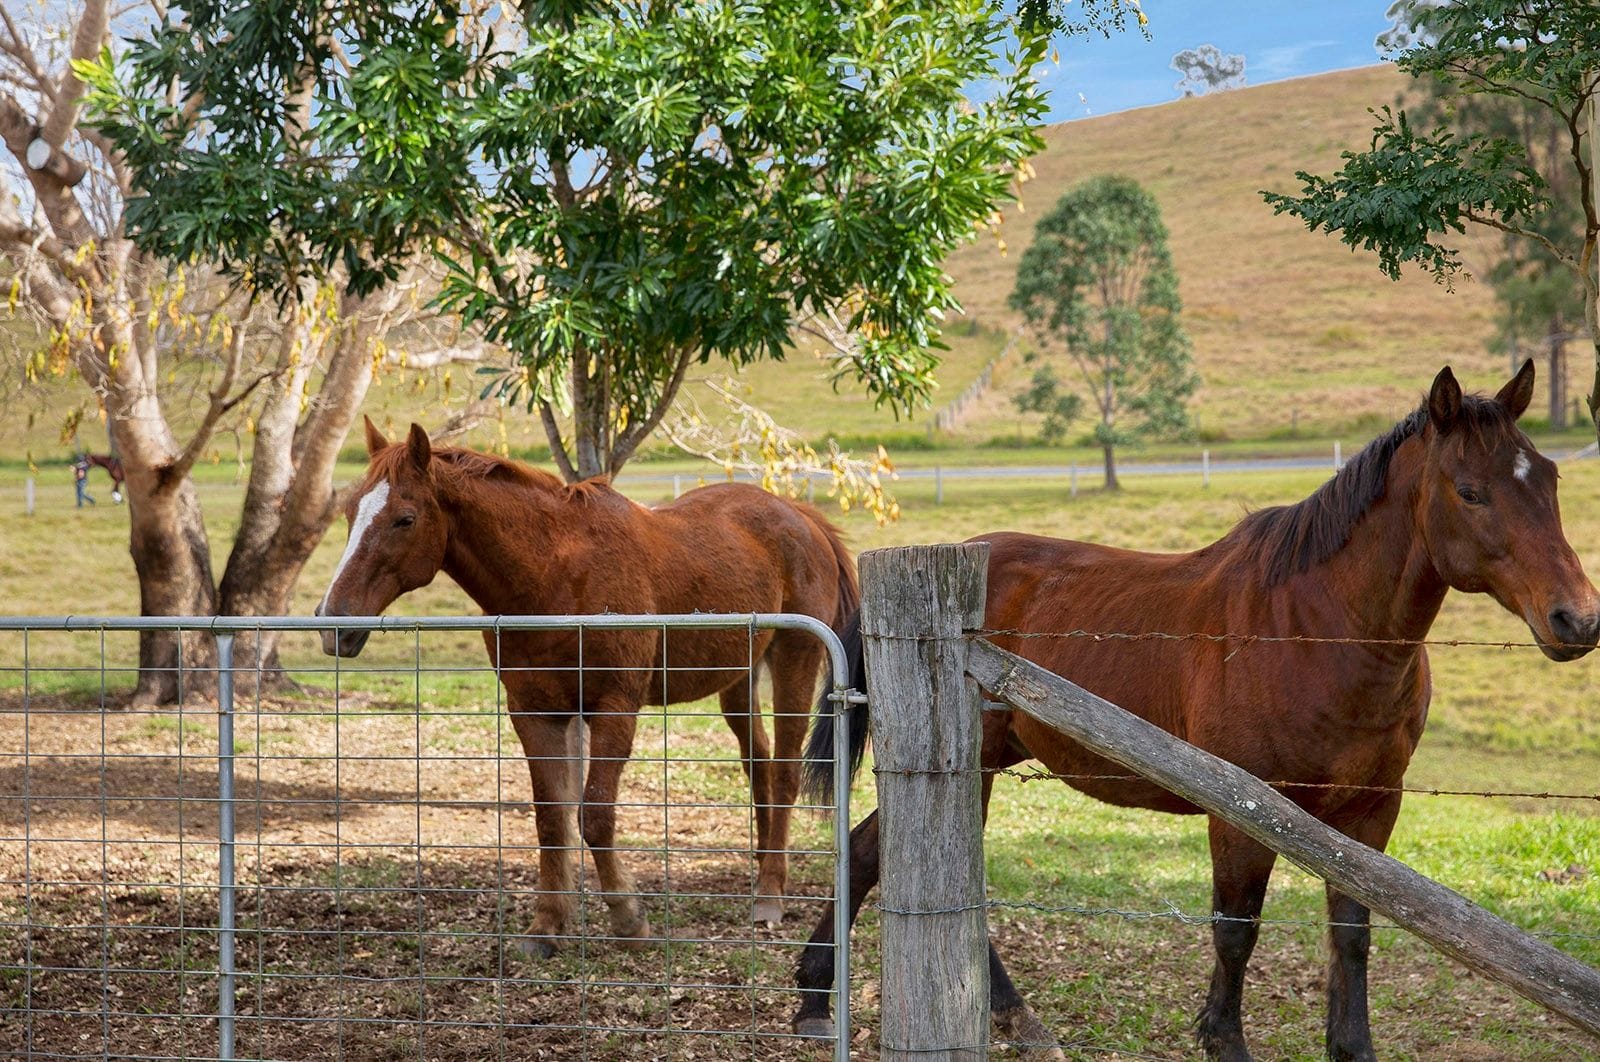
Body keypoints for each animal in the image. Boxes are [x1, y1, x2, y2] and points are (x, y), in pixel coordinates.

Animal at [316, 419, 857, 946]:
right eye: (350, 511)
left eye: (404, 519)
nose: (332, 622)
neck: (555, 574)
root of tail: (800, 515)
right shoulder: (535, 713)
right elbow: (552, 818)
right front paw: (547, 923)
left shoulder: (614, 708)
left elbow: (594, 815)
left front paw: (628, 917)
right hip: (738, 678)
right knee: (759, 766)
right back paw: (762, 870)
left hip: (794, 660)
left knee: (783, 772)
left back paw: (770, 895)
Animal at [793, 361, 1600, 1055]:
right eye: (1470, 491)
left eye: (1550, 479)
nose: (1577, 619)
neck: (1315, 626)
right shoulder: (1244, 812)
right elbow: (1236, 930)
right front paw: (1223, 1039)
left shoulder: (1371, 811)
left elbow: (1351, 933)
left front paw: (1350, 1045)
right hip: (972, 766)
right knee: (878, 855)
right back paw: (836, 1001)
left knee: (871, 852)